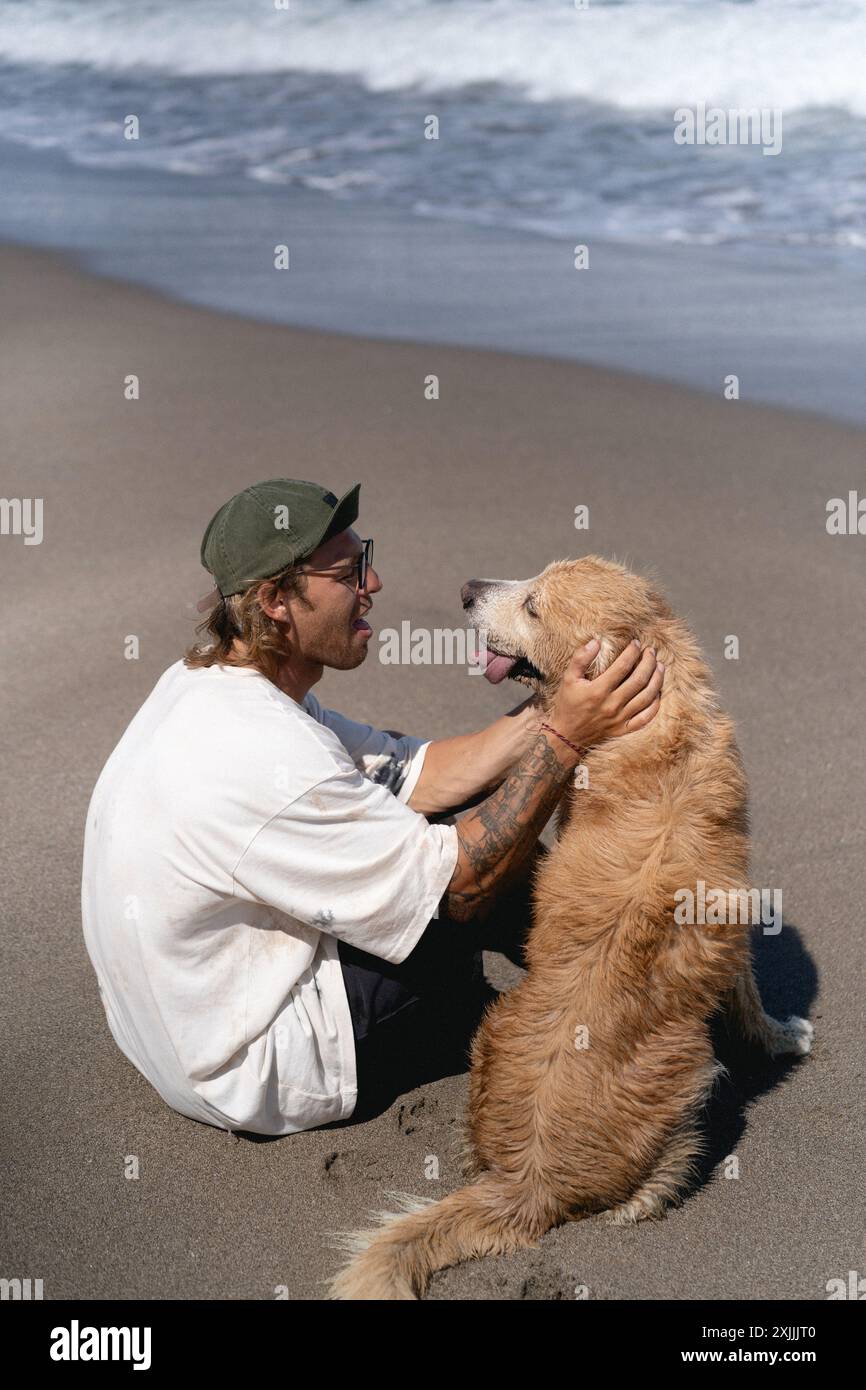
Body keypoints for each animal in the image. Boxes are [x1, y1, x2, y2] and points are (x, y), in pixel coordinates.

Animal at [328, 556, 817, 1301]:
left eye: (532, 603)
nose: (466, 590)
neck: (657, 717)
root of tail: (526, 1182)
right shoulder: (731, 927)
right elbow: (751, 998)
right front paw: (784, 1037)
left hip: (492, 1029)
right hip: (692, 1072)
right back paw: (646, 1196)